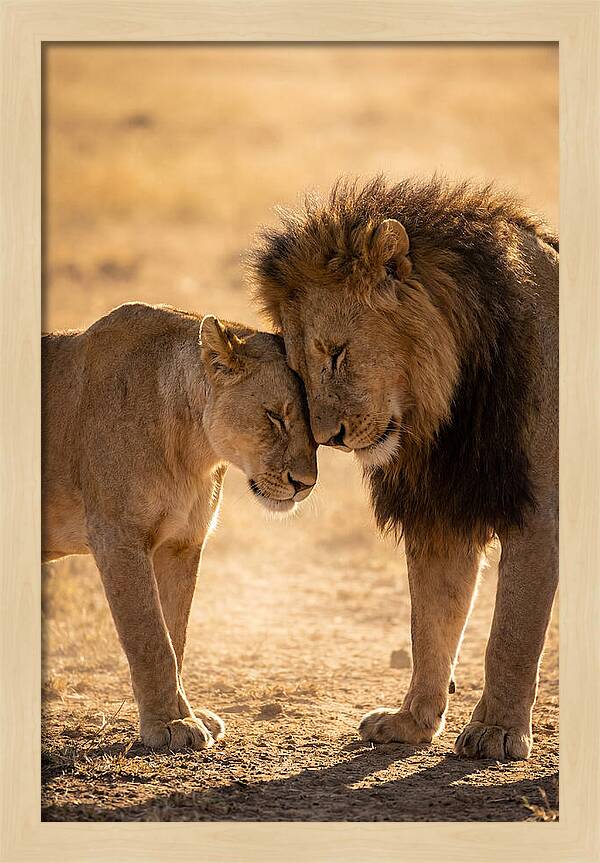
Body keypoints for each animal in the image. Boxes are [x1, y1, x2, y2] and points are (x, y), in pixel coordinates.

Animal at [42, 302, 317, 750]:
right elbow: (151, 639)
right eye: (275, 417)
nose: (305, 484)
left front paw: (187, 715)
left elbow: (176, 636)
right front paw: (168, 725)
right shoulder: (118, 538)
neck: (194, 450)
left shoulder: (182, 543)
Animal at [250, 176, 558, 760]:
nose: (329, 438)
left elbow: (511, 633)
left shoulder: (541, 513)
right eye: (298, 370)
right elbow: (431, 622)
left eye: (337, 353)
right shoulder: (441, 513)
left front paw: (496, 731)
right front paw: (412, 721)